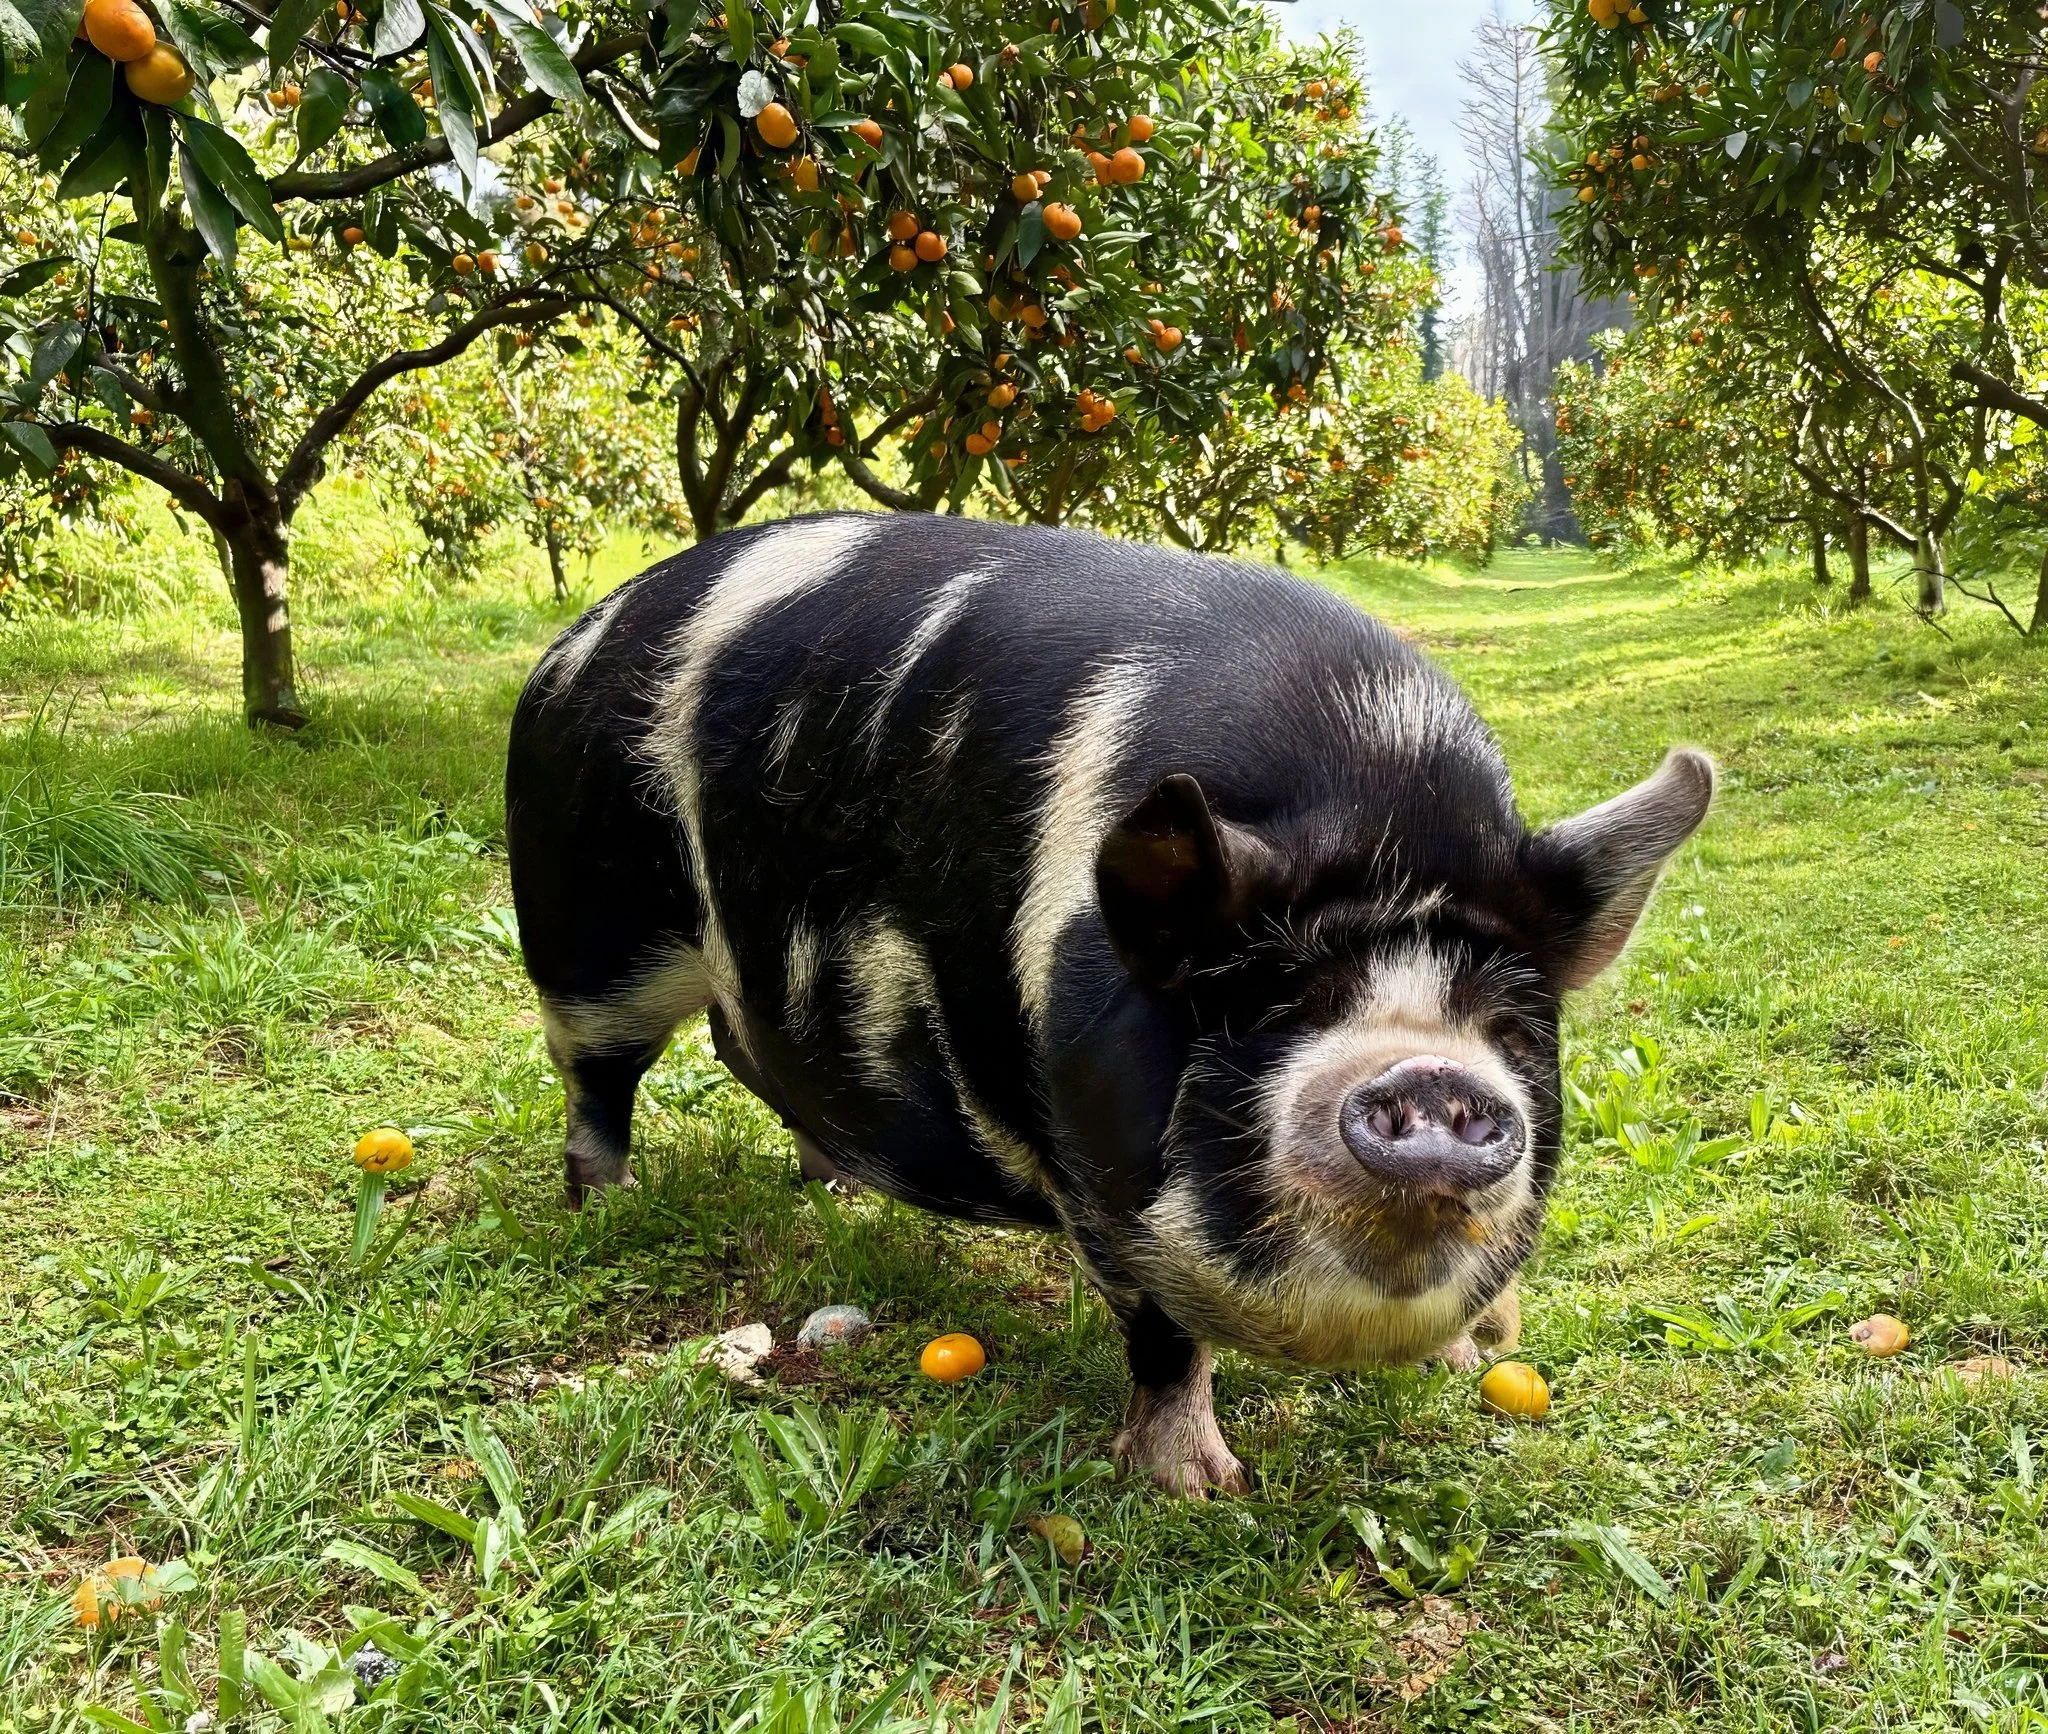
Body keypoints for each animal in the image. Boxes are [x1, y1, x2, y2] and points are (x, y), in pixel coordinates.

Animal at [505, 514, 1713, 1494]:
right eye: (1270, 1012)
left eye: (1509, 1032)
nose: (1428, 1074)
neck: (1373, 820)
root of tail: (571, 641)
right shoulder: (1092, 1174)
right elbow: (1163, 1334)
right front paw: (1196, 1490)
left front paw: (1474, 1361)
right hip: (588, 925)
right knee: (597, 1076)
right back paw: (607, 1208)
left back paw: (837, 1194)